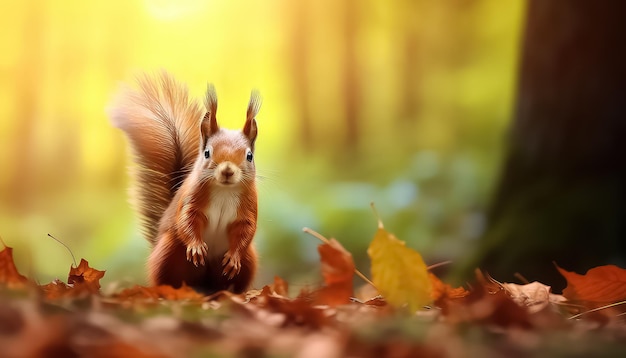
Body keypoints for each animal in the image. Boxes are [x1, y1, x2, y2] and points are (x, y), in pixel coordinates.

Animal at [108, 72, 260, 294]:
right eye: (207, 153)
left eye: (249, 156)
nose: (227, 171)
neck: (224, 191)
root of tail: (203, 284)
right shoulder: (192, 198)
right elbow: (187, 220)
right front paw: (196, 247)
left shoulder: (248, 206)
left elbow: (246, 230)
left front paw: (233, 257)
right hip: (169, 251)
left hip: (249, 259)